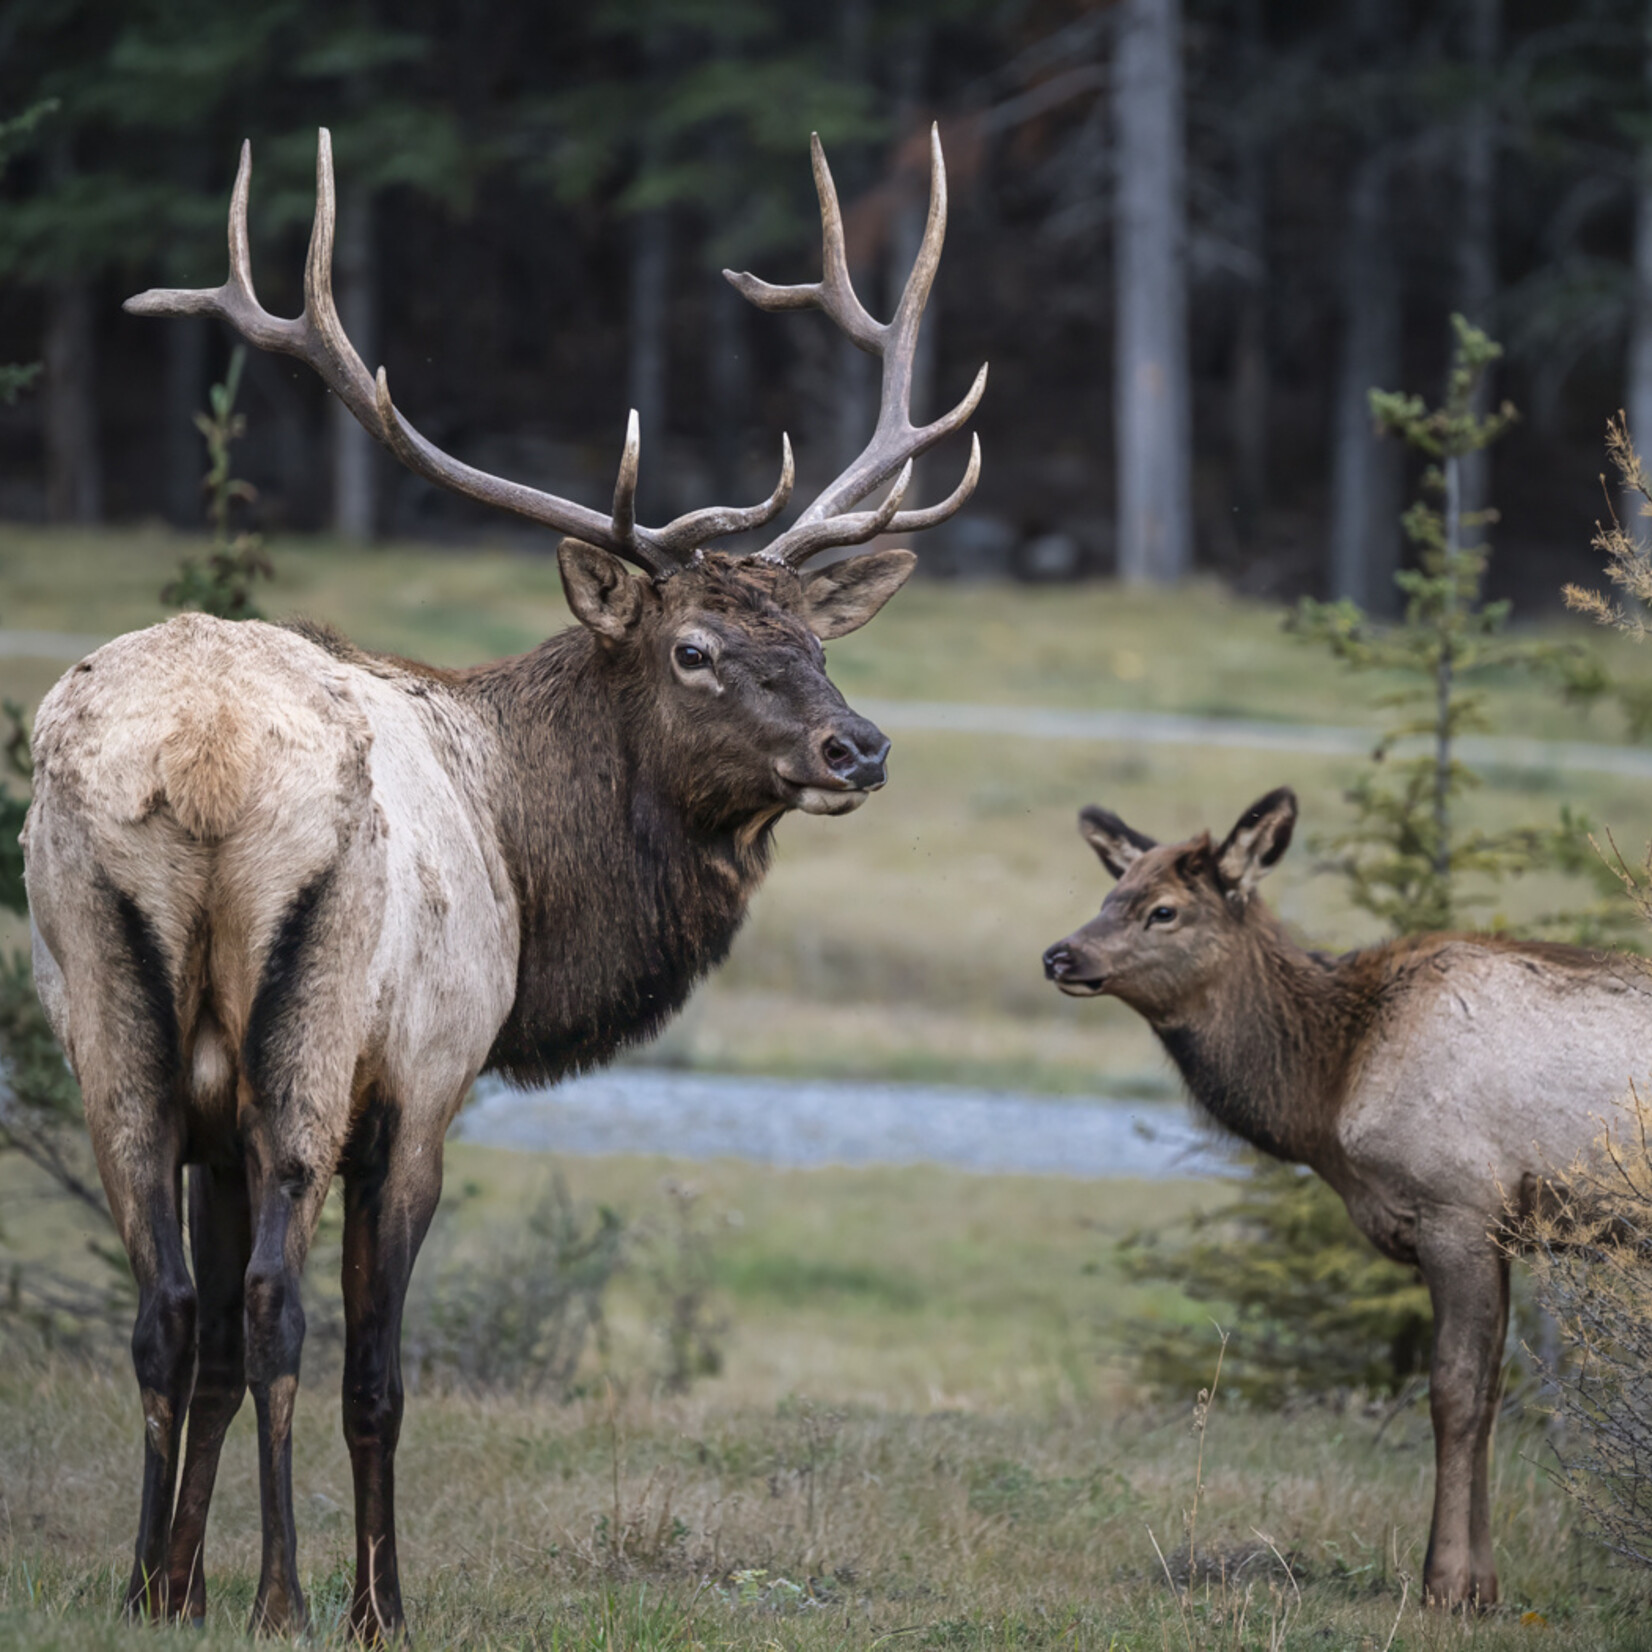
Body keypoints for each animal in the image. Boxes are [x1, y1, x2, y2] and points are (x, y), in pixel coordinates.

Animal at [22, 128, 977, 1638]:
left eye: (815, 640)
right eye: (695, 648)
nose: (859, 746)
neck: (527, 859)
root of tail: (202, 759)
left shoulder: (215, 1124)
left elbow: (213, 1344)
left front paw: (174, 1586)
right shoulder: (424, 1082)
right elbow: (372, 1371)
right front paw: (377, 1604)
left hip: (111, 1022)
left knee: (168, 1308)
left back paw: (137, 1583)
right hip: (314, 1026)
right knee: (284, 1308)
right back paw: (290, 1597)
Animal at [1044, 792, 1652, 1605]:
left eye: (1163, 910)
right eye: (1110, 895)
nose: (1060, 955)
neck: (1331, 1087)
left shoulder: (1456, 1206)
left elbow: (1455, 1390)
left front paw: (1445, 1583)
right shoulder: (1499, 1227)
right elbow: (1493, 1392)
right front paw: (1486, 1586)